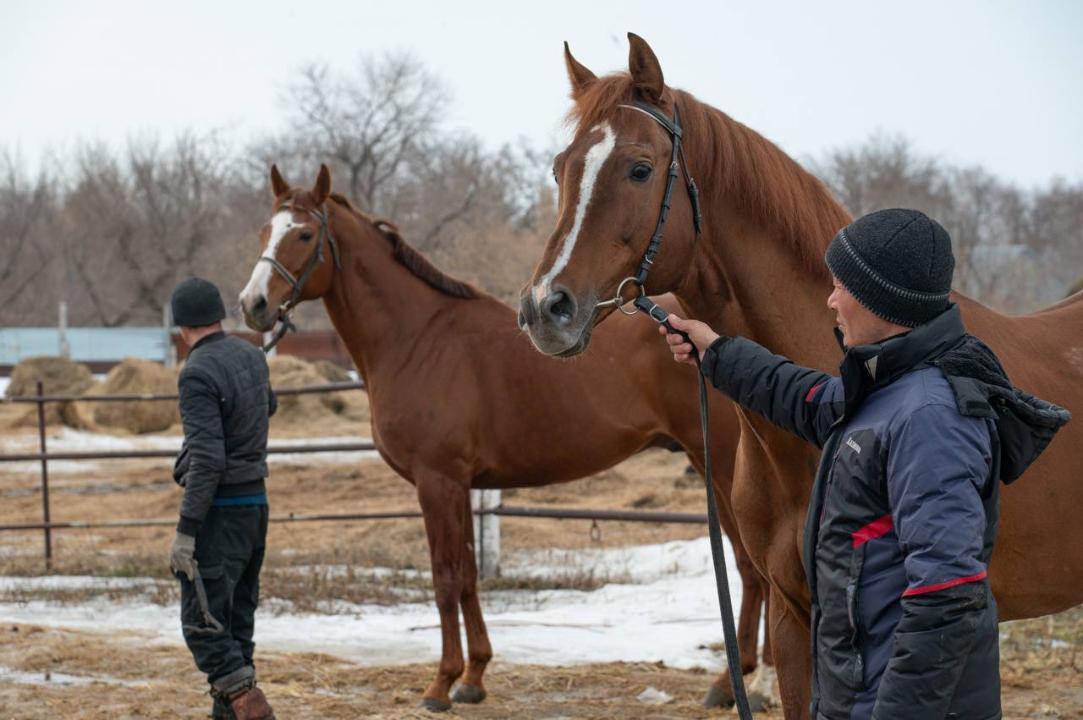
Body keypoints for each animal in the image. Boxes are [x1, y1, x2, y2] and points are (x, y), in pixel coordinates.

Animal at [240, 165, 775, 710]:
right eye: (264, 232)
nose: (253, 304)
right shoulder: (459, 486)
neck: (419, 339)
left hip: (721, 463)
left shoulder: (436, 482)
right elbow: (468, 577)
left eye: (305, 235)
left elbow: (445, 579)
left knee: (754, 566)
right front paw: (473, 677)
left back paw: (748, 682)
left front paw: (440, 685)